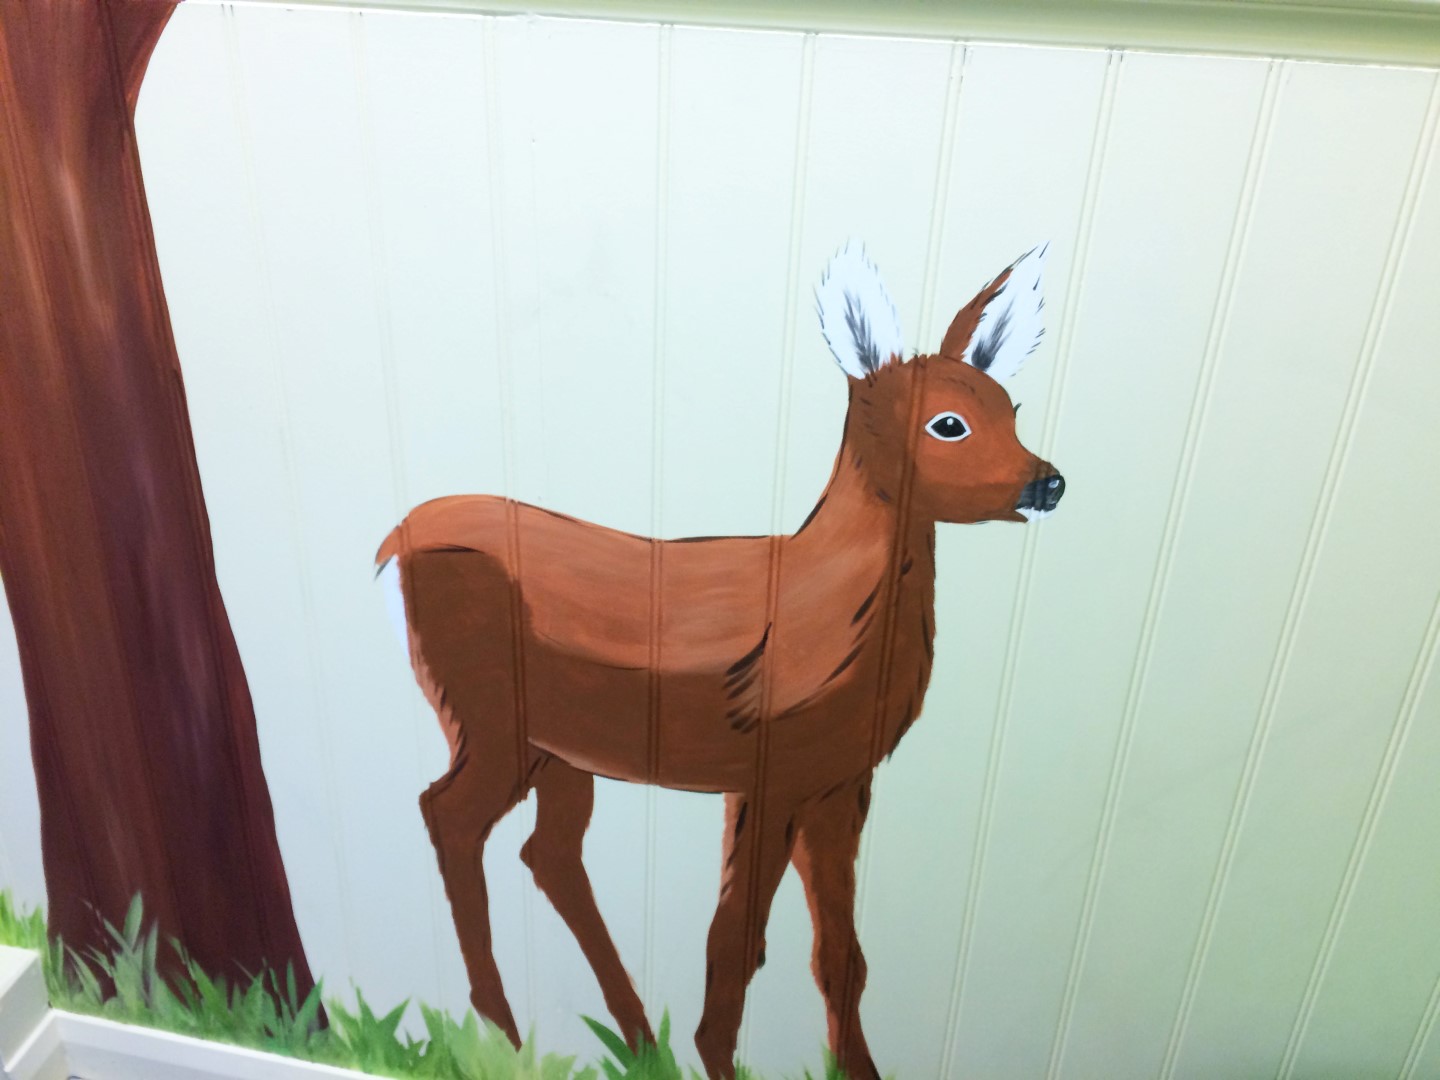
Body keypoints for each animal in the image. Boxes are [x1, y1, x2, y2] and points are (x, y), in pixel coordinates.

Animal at [375, 241, 1065, 1080]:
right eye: (949, 424)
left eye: (1012, 410)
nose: (1049, 482)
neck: (824, 616)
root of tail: (395, 544)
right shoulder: (767, 772)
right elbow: (736, 942)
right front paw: (716, 1055)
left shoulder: (841, 783)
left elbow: (842, 955)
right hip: (486, 715)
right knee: (447, 814)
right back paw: (504, 1036)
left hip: (561, 748)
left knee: (549, 853)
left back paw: (635, 1039)